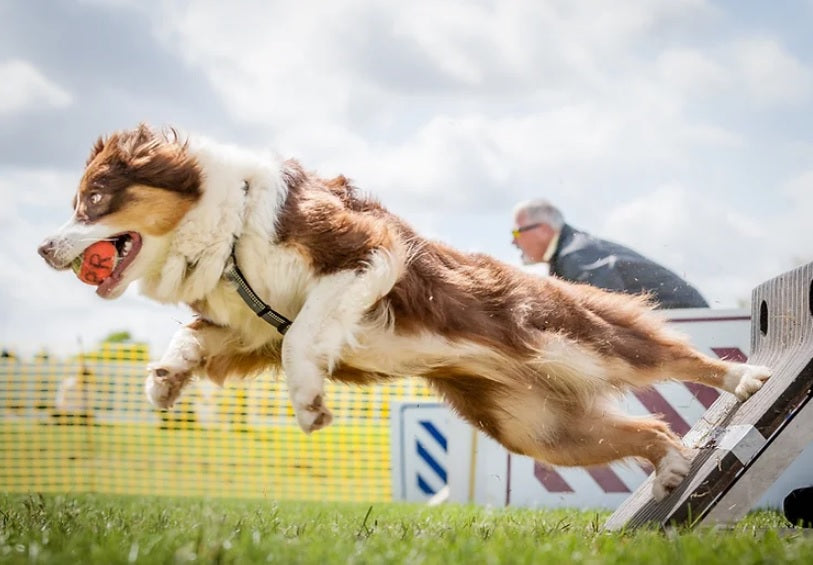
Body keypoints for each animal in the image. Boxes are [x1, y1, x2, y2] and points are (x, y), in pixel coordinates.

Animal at [39, 123, 772, 498]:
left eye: (94, 199)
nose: (44, 247)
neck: (231, 233)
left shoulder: (366, 253)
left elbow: (304, 334)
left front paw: (309, 403)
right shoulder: (244, 330)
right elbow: (195, 339)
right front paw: (162, 381)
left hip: (572, 338)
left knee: (669, 355)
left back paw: (746, 379)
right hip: (540, 430)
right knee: (647, 428)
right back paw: (672, 467)